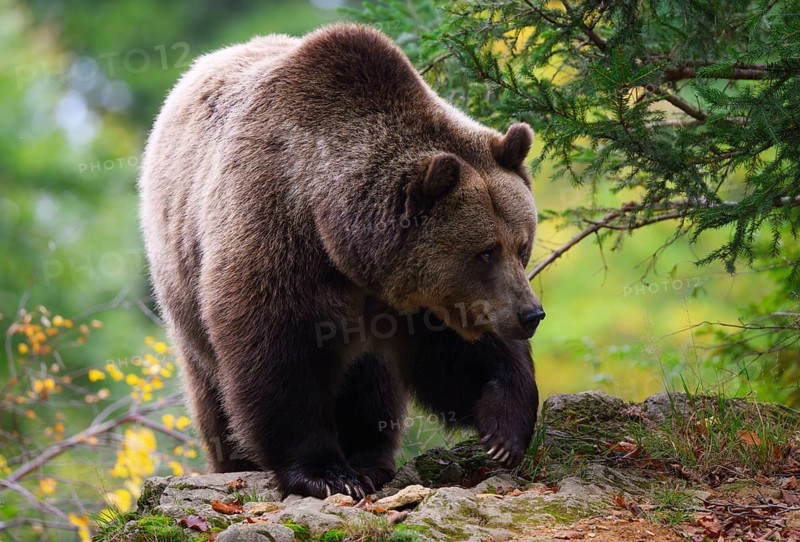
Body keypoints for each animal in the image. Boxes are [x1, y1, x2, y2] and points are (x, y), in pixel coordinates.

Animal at [139, 23, 545, 499]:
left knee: (370, 378)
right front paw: (325, 472)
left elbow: (457, 354)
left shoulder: (421, 297)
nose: (531, 314)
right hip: (182, 285)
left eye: (522, 245)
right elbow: (280, 354)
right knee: (212, 387)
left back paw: (371, 459)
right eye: (484, 252)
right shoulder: (275, 228)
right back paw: (238, 460)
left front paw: (504, 430)